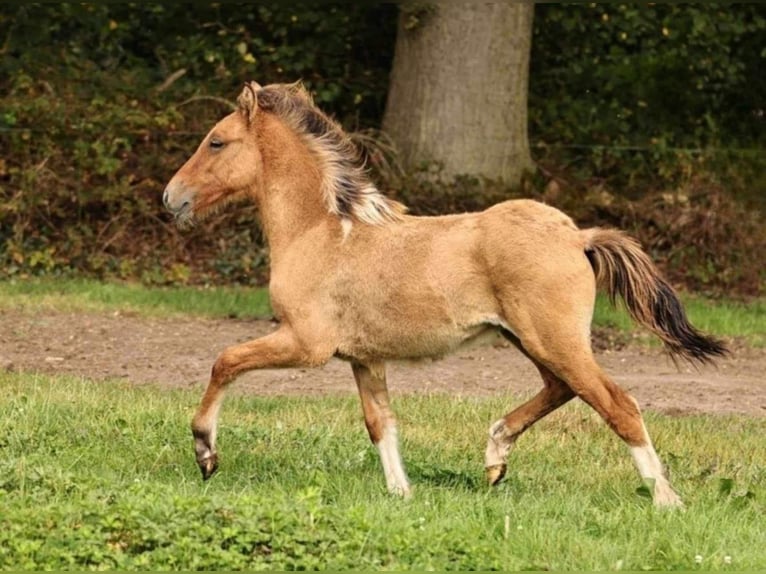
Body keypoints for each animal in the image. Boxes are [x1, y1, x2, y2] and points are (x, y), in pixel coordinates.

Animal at [162, 81, 728, 508]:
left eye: (216, 142)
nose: (171, 198)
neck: (319, 233)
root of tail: (577, 236)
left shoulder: (306, 344)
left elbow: (225, 361)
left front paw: (206, 453)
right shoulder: (364, 358)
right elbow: (380, 423)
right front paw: (402, 493)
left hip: (553, 340)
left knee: (618, 403)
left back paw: (666, 499)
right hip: (530, 339)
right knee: (562, 389)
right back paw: (495, 458)